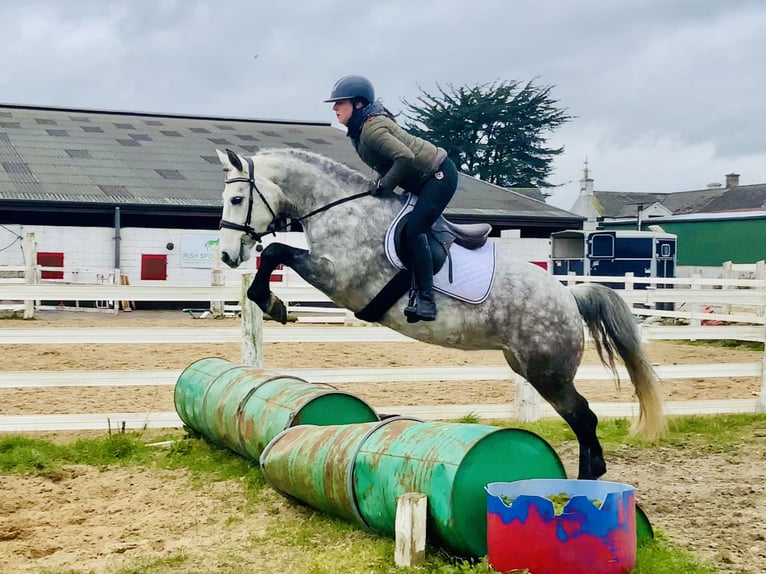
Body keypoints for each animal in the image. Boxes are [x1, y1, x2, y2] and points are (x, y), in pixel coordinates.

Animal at [216, 148, 664, 482]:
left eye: (237, 200)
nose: (226, 255)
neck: (338, 208)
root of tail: (569, 296)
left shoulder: (337, 275)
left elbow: (276, 251)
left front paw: (272, 303)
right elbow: (275, 254)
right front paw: (271, 301)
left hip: (548, 371)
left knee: (584, 416)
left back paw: (586, 483)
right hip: (528, 367)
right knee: (581, 417)